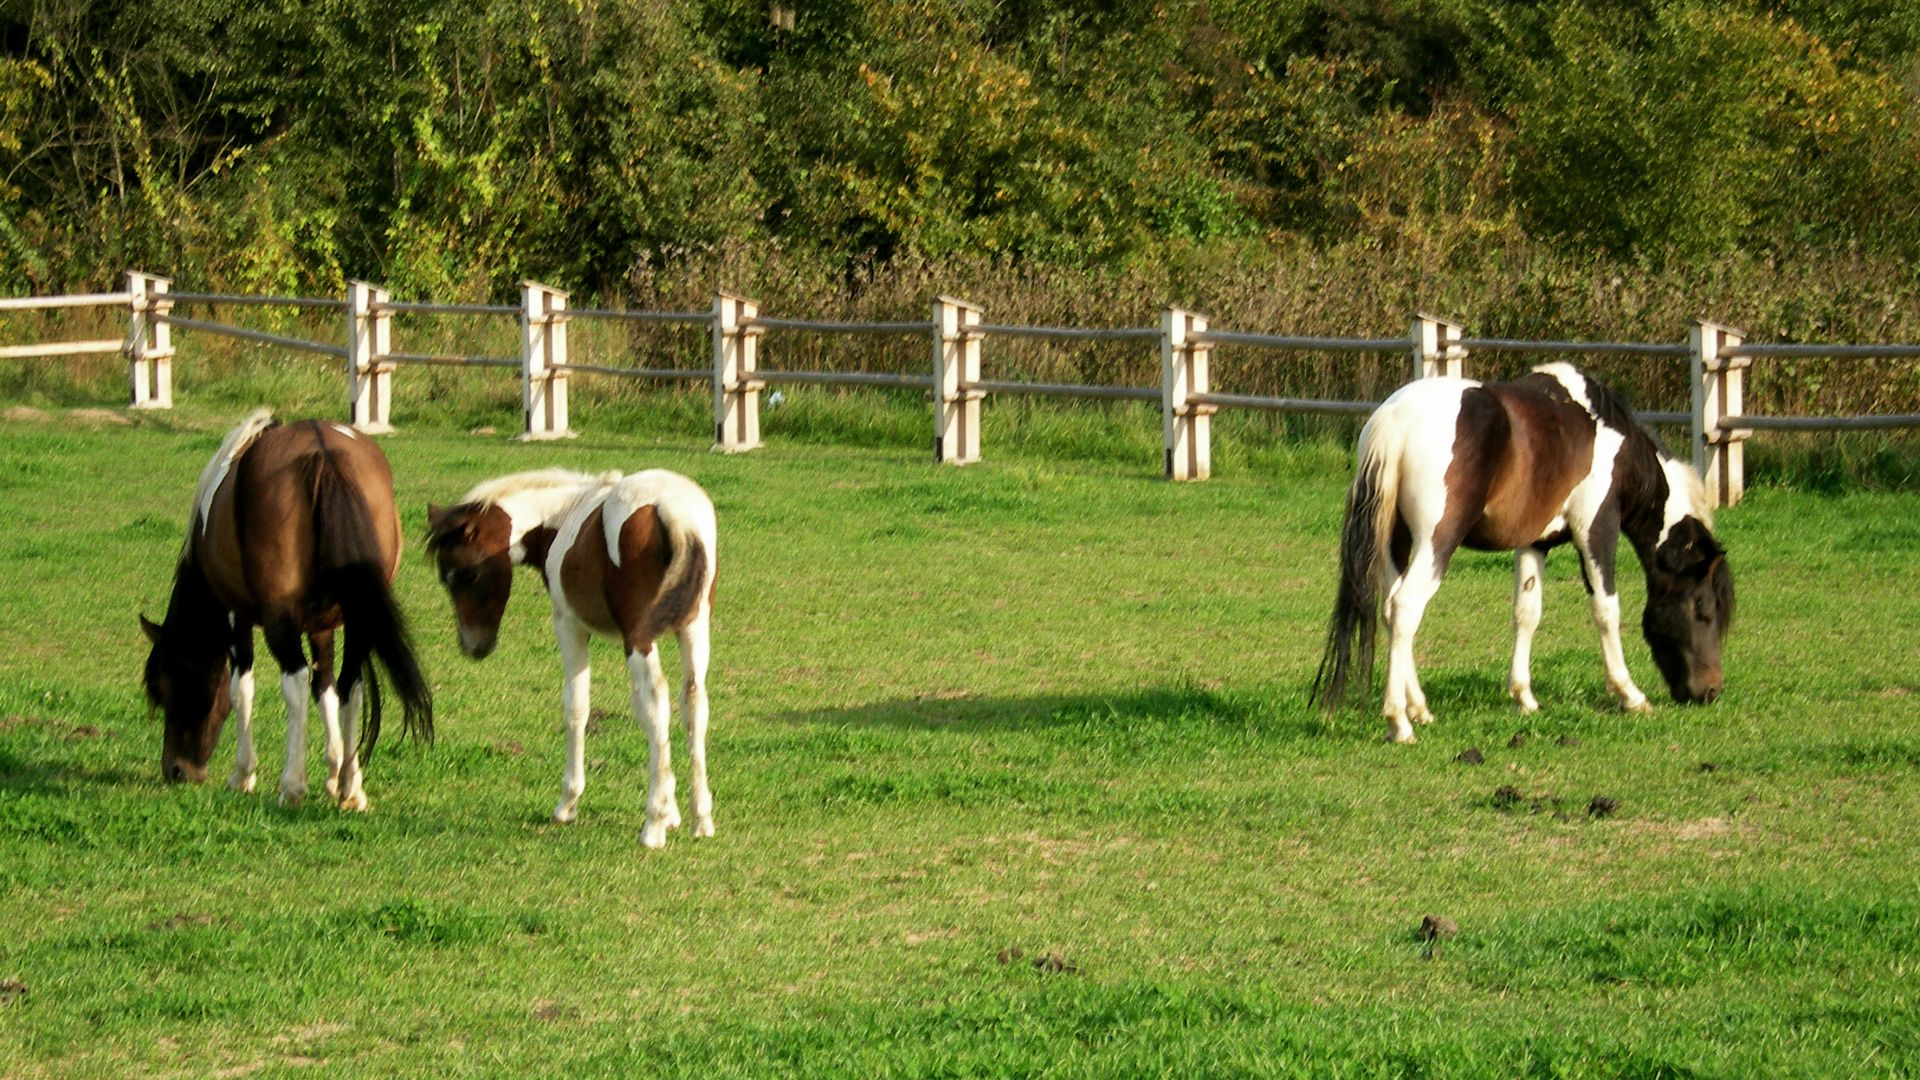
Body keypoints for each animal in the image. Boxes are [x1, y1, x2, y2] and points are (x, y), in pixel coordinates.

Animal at [140, 407, 433, 803]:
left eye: (165, 686)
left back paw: (292, 784)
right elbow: (325, 689)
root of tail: (324, 454)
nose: (176, 770)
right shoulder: (322, 625)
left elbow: (241, 688)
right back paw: (350, 787)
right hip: (359, 617)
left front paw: (243, 774)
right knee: (350, 685)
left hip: (282, 623)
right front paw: (333, 770)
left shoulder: (237, 616)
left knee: (294, 681)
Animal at [424, 466, 718, 845]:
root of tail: (670, 509)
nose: (474, 646)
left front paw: (569, 803)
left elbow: (577, 708)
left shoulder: (569, 625)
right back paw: (701, 818)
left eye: (468, 573)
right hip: (694, 627)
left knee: (657, 701)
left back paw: (651, 827)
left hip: (638, 637)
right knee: (692, 702)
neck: (561, 517)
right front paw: (672, 811)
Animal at [1313, 361, 1735, 737]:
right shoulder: (1596, 529)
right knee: (1405, 607)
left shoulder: (1535, 543)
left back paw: (1419, 707)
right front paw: (1630, 694)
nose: (1711, 691)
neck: (1614, 442)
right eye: (1704, 609)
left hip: (1395, 545)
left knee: (1390, 611)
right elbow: (1606, 610)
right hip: (1436, 543)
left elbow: (1526, 612)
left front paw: (1524, 696)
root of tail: (1395, 421)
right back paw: (1400, 722)